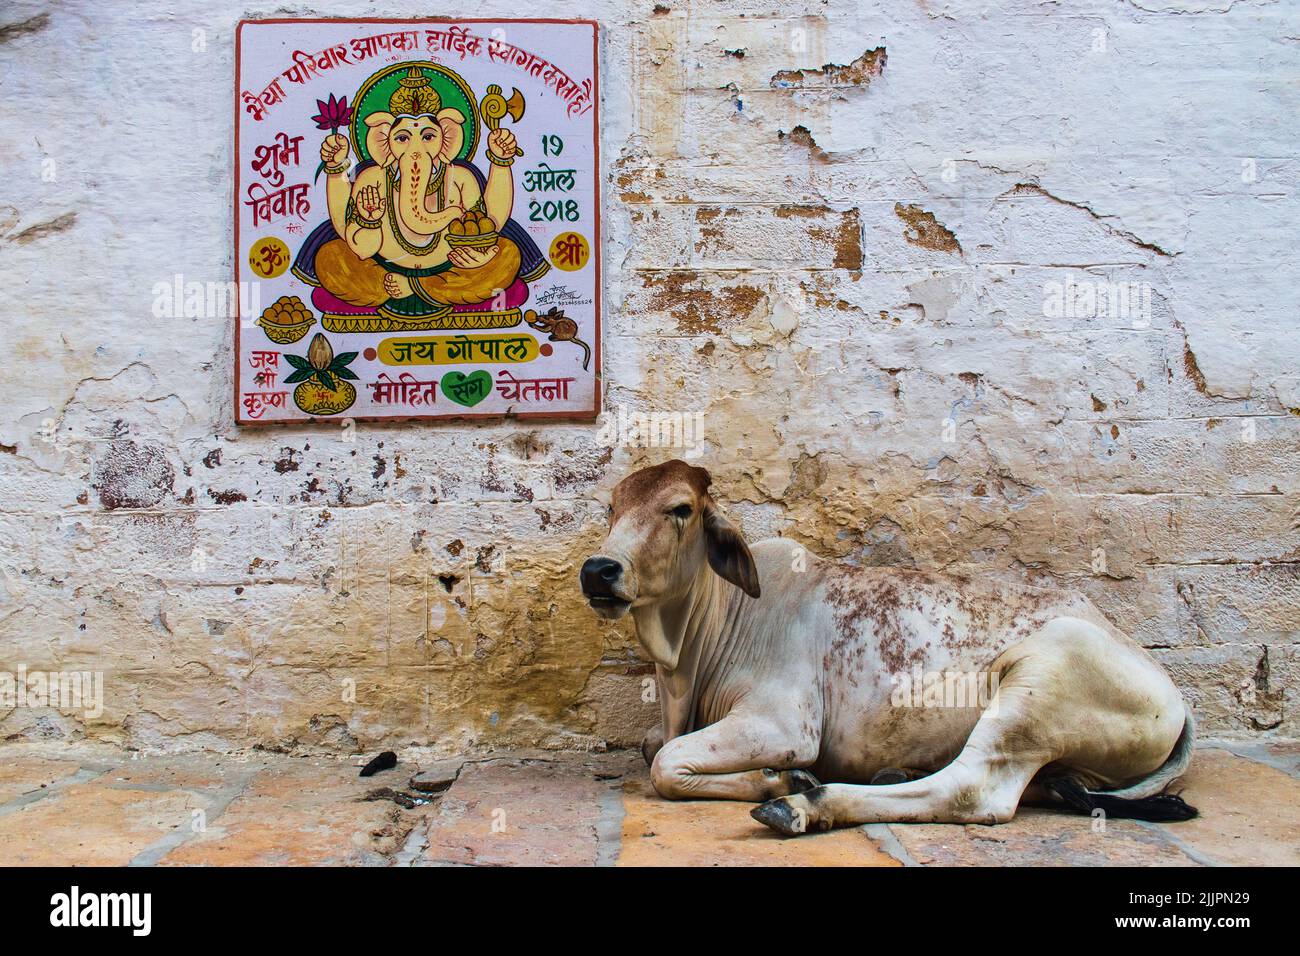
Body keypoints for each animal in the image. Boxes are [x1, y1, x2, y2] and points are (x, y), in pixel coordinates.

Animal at [580, 460, 1196, 835]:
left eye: (680, 509)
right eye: (612, 507)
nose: (598, 570)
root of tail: (1173, 693)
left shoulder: (783, 723)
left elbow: (665, 763)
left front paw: (785, 780)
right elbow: (651, 745)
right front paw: (782, 777)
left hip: (1037, 683)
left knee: (974, 791)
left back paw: (806, 804)